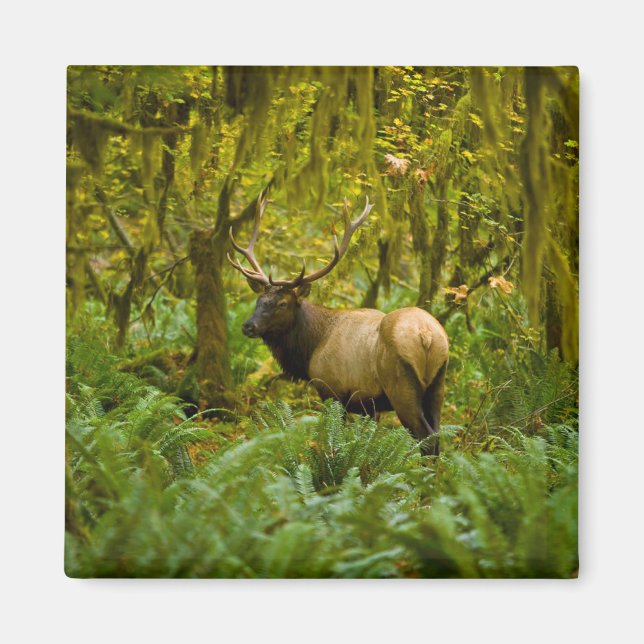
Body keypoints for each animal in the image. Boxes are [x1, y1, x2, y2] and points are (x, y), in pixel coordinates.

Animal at [227, 192, 449, 456]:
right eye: (259, 300)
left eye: (282, 303)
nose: (248, 326)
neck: (311, 348)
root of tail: (426, 335)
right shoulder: (369, 406)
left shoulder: (332, 390)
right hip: (438, 383)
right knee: (437, 436)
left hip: (402, 385)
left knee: (426, 438)